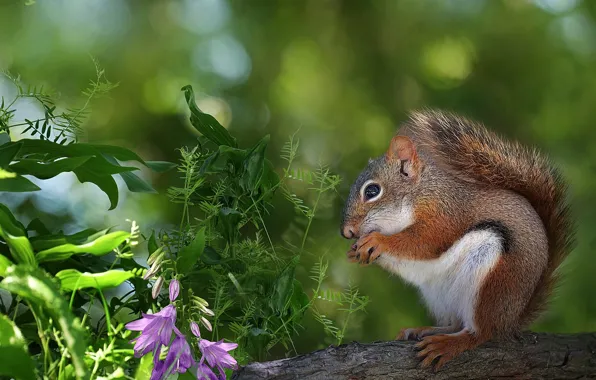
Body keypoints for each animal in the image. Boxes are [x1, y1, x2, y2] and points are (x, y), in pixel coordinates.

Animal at [342, 110, 576, 372]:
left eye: (372, 191)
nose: (346, 232)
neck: (420, 193)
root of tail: (511, 320)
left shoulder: (445, 214)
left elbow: (426, 242)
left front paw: (378, 240)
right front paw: (355, 251)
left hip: (492, 280)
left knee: (480, 332)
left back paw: (449, 344)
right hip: (439, 295)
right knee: (456, 323)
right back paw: (424, 330)